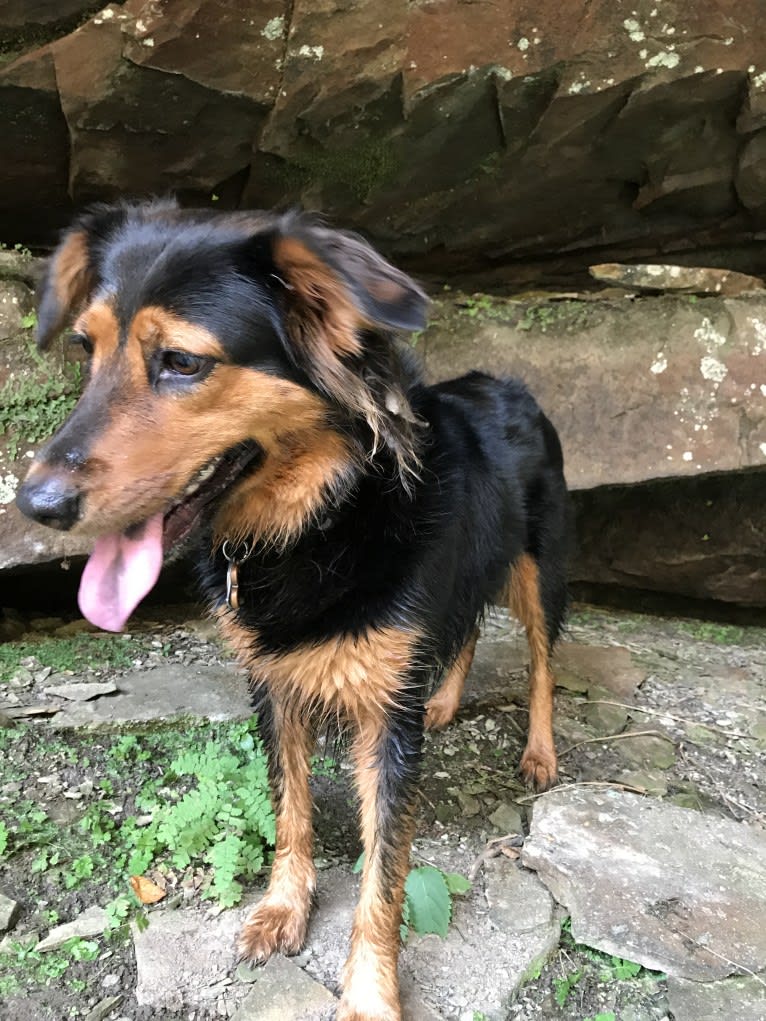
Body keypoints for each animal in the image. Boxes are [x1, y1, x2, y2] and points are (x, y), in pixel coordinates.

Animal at [16, 199, 571, 1021]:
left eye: (182, 362)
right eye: (87, 349)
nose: (35, 504)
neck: (319, 519)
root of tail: (509, 383)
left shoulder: (386, 722)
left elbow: (384, 872)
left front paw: (370, 994)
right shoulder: (271, 684)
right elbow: (291, 805)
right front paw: (284, 907)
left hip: (540, 570)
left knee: (538, 662)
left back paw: (539, 751)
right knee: (465, 627)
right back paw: (445, 700)